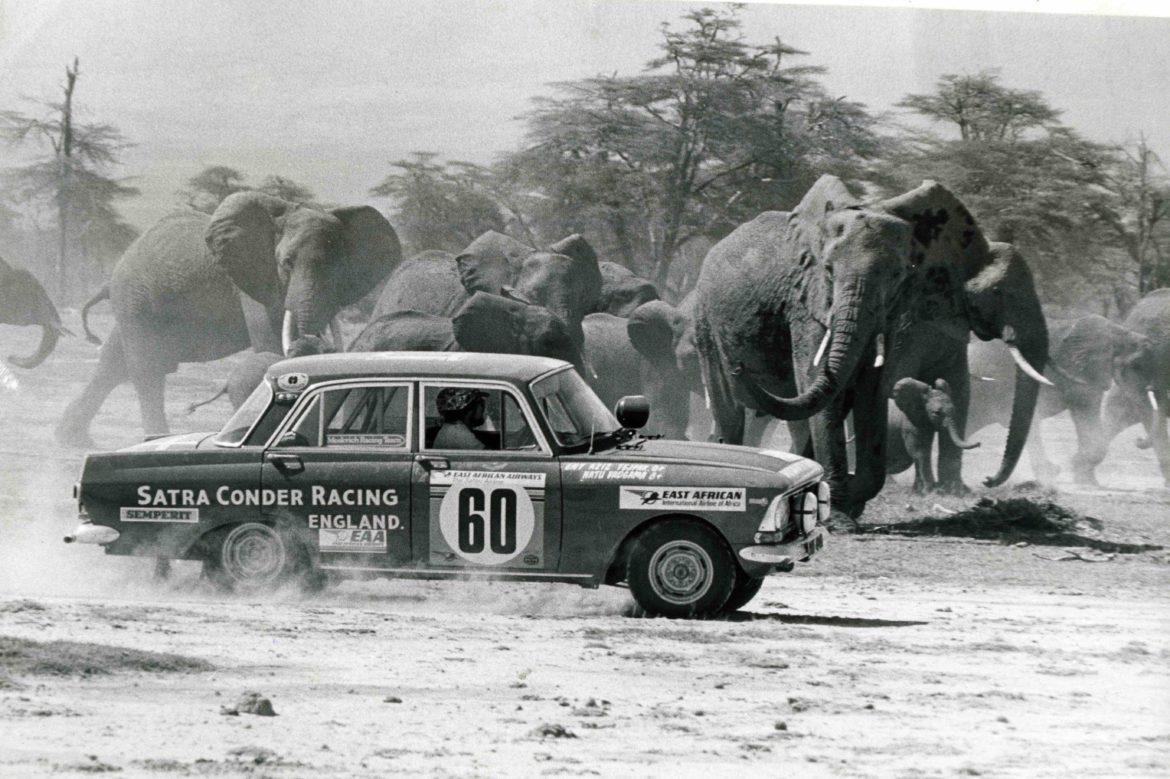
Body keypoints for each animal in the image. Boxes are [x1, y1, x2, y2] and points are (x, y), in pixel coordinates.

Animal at [57, 196, 401, 445]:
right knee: (146, 369)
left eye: (339, 268)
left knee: (113, 364)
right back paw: (153, 438)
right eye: (286, 263)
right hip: (134, 297)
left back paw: (72, 437)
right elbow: (269, 340)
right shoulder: (256, 277)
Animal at [968, 314, 1151, 485]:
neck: (1119, 332)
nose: (1138, 439)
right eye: (1135, 366)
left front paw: (1087, 480)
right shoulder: (1079, 372)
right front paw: (1076, 468)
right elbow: (1086, 410)